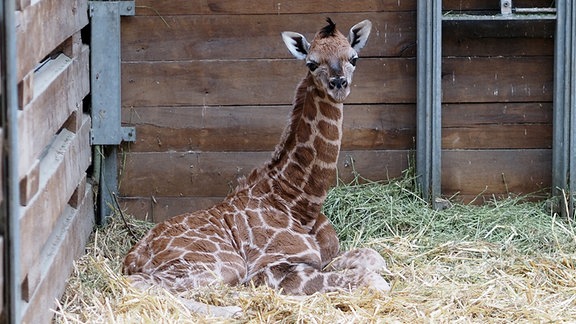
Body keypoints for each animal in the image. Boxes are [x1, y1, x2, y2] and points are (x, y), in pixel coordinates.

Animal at [123, 17, 390, 316]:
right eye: (311, 63)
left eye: (354, 58)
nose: (338, 84)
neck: (300, 204)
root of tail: (131, 258)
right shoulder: (271, 268)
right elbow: (375, 281)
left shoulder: (324, 256)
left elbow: (375, 259)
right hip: (225, 264)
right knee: (143, 285)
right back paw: (232, 310)